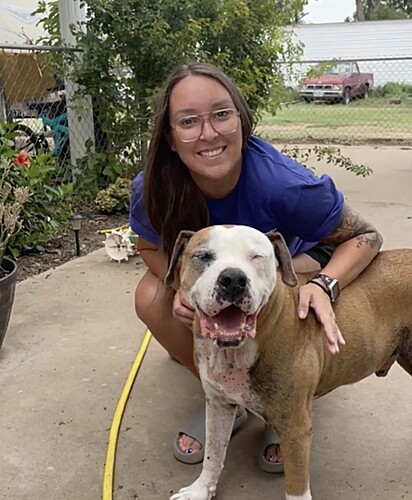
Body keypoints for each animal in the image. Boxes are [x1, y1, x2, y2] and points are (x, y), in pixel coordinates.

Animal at [166, 226, 410, 500]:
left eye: (257, 257)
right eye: (204, 256)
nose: (233, 279)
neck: (237, 350)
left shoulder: (296, 428)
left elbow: (296, 489)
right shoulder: (219, 405)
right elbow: (213, 454)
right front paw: (200, 490)